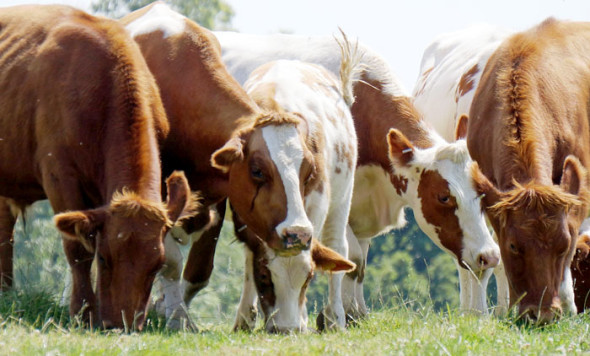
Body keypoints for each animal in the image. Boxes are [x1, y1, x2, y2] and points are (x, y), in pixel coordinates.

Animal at [0, 4, 194, 330]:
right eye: (104, 258)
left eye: (155, 266)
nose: (122, 325)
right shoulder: (59, 176)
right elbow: (77, 249)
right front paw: (83, 311)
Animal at [118, 2, 354, 330]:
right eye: (257, 170)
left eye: (308, 172)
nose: (297, 234)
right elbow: (170, 260)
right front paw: (176, 317)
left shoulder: (217, 201)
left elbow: (198, 270)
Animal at [215, 30, 502, 320]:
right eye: (443, 197)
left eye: (482, 193)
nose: (489, 255)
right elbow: (349, 256)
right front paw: (336, 314)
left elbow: (359, 262)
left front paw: (357, 312)